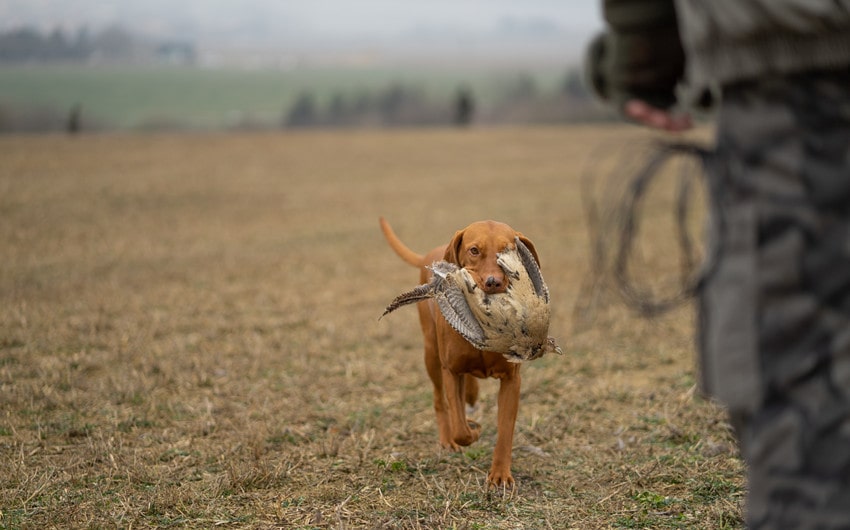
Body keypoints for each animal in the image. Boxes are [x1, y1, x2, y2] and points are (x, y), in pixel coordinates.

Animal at [380, 216, 540, 486]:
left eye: (508, 251)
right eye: (474, 250)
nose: (493, 282)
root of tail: (430, 254)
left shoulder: (511, 380)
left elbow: (505, 430)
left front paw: (500, 474)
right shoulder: (451, 371)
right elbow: (460, 428)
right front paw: (472, 431)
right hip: (431, 356)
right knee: (440, 401)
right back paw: (447, 439)